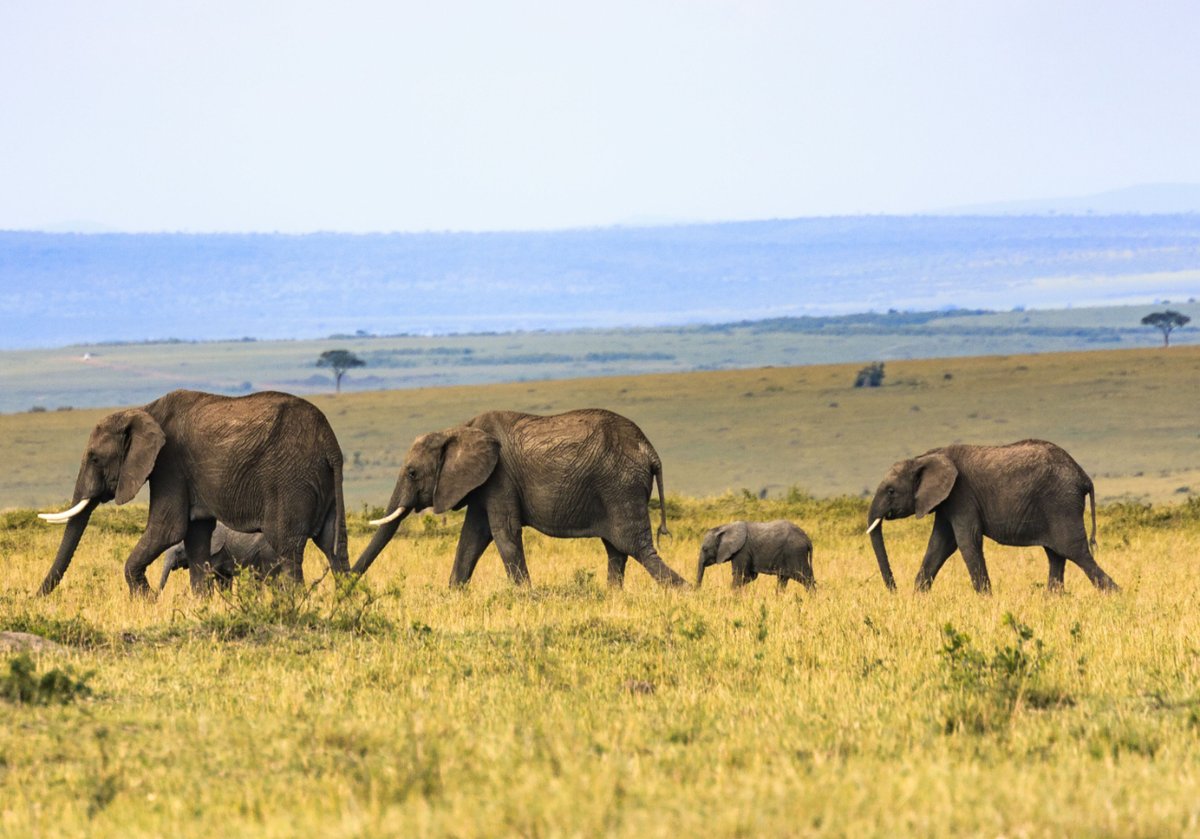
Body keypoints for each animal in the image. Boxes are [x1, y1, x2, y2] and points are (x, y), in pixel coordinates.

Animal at [352, 410, 686, 588]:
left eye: (411, 473)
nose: (346, 583)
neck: (458, 429)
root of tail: (651, 452)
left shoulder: (500, 477)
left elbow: (504, 533)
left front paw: (526, 596)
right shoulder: (483, 483)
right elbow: (472, 537)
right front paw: (452, 594)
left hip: (620, 486)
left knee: (636, 547)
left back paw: (685, 591)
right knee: (617, 550)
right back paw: (612, 596)